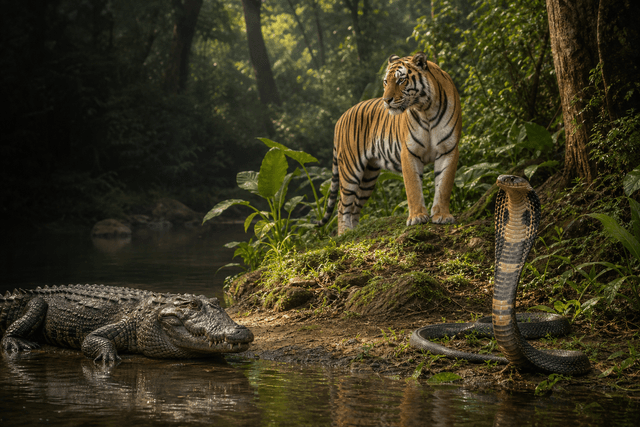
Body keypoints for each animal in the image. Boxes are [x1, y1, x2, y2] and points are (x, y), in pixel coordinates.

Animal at [317, 52, 462, 235]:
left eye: (401, 80)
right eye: (386, 82)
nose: (386, 100)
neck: (426, 109)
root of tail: (340, 118)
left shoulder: (448, 149)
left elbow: (444, 185)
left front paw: (442, 215)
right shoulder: (409, 152)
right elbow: (413, 187)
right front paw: (417, 217)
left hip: (368, 176)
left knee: (355, 205)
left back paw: (355, 231)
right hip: (351, 169)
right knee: (342, 205)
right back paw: (345, 233)